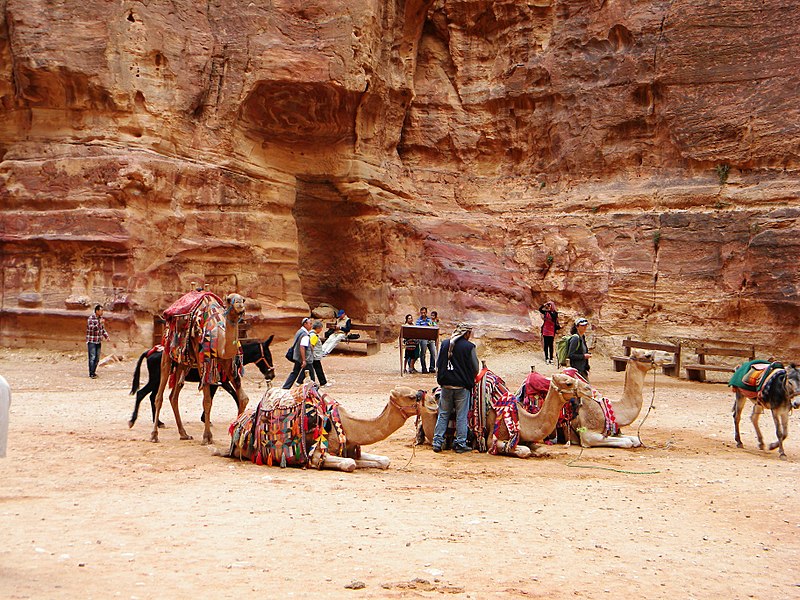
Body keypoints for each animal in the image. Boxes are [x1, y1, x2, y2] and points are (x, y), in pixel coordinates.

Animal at [150, 290, 248, 446]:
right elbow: (207, 401)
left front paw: (234, 438)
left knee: (173, 396)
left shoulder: (228, 363)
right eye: (229, 299)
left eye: (243, 299)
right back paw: (154, 435)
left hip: (184, 363)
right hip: (167, 351)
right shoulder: (204, 362)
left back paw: (184, 434)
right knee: (159, 395)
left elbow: (243, 398)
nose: (239, 306)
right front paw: (207, 437)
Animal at [227, 382, 424, 472]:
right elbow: (350, 464)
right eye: (411, 396)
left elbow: (383, 460)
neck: (347, 425)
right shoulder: (316, 454)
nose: (429, 400)